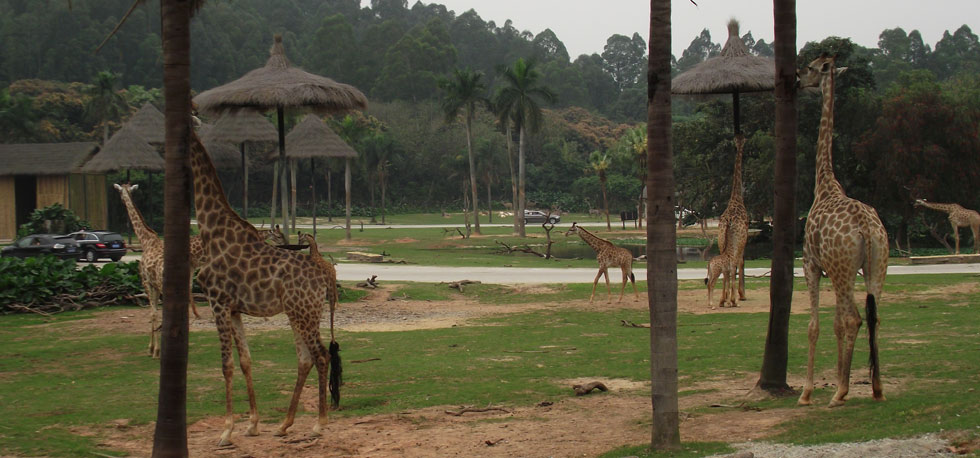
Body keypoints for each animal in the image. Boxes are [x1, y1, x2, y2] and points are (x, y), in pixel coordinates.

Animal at [112, 182, 202, 358]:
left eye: (119, 192)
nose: (121, 200)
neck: (145, 240)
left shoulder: (147, 282)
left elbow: (152, 313)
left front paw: (153, 349)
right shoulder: (154, 285)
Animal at [188, 131, 340, 446]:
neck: (212, 233)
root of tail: (325, 276)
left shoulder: (218, 302)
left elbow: (226, 364)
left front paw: (226, 431)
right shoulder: (234, 308)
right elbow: (245, 360)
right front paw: (252, 425)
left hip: (304, 313)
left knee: (320, 355)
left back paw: (318, 424)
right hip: (300, 313)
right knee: (305, 358)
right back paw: (284, 425)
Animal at [796, 53, 888, 408]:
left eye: (811, 67)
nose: (798, 80)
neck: (823, 184)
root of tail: (866, 228)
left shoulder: (811, 264)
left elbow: (815, 325)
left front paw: (808, 392)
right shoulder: (829, 269)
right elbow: (834, 324)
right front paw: (837, 378)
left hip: (843, 267)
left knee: (854, 318)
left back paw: (840, 394)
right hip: (875, 264)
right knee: (873, 316)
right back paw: (876, 388)